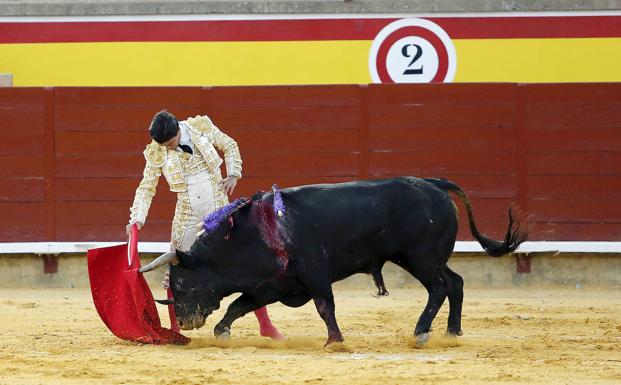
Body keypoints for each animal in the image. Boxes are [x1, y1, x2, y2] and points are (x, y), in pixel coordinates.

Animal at [139, 177, 524, 344]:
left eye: (181, 282)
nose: (185, 323)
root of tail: (434, 185)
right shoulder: (273, 285)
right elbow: (240, 304)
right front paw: (222, 333)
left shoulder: (315, 275)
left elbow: (326, 306)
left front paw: (334, 340)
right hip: (425, 258)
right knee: (456, 283)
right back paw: (451, 331)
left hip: (421, 259)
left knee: (440, 288)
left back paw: (421, 332)